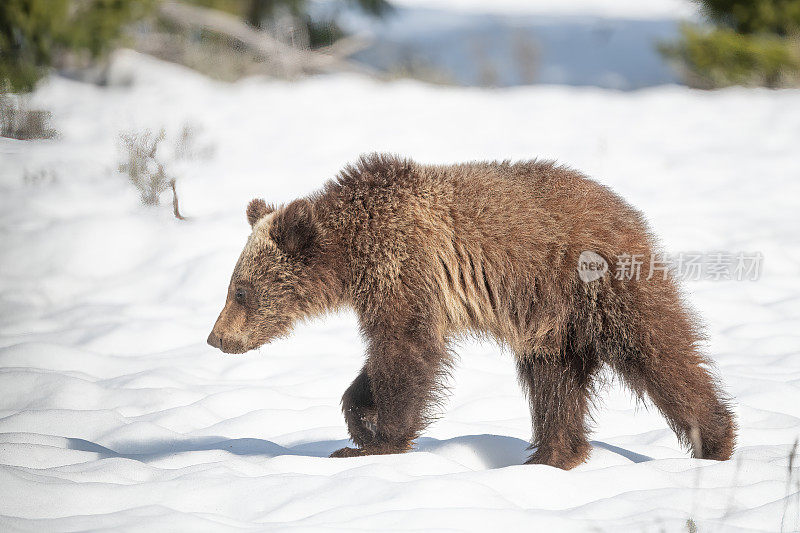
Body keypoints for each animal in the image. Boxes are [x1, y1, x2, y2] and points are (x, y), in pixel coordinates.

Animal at [208, 152, 736, 468]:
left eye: (240, 290)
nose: (216, 337)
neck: (351, 253)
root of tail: (626, 210)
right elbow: (382, 362)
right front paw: (360, 418)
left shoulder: (405, 268)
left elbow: (407, 352)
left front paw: (376, 442)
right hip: (550, 321)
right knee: (554, 382)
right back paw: (551, 456)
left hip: (599, 286)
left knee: (658, 353)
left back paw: (714, 439)